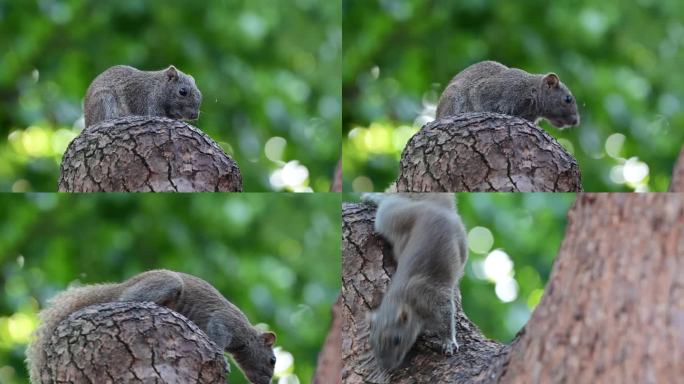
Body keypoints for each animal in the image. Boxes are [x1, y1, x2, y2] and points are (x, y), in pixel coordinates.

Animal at [26, 270, 278, 384]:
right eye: (273, 360)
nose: (265, 382)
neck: (246, 334)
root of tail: (123, 284)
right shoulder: (224, 322)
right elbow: (216, 338)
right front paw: (222, 359)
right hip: (165, 283)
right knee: (124, 300)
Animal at [360, 194, 468, 374]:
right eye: (371, 342)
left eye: (397, 340)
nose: (386, 368)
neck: (401, 299)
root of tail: (433, 207)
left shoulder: (432, 297)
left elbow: (447, 318)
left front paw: (448, 342)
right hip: (395, 221)